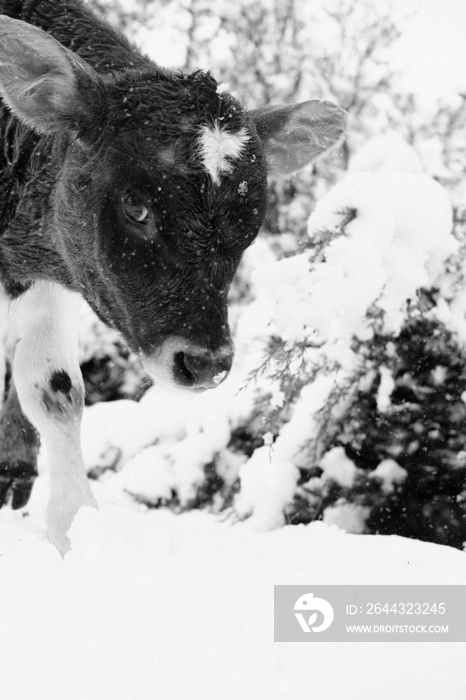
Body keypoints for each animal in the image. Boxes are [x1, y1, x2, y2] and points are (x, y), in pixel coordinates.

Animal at [0, 0, 346, 552]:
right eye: (137, 207)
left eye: (250, 224)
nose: (205, 364)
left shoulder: (45, 267)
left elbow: (54, 387)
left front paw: (75, 526)